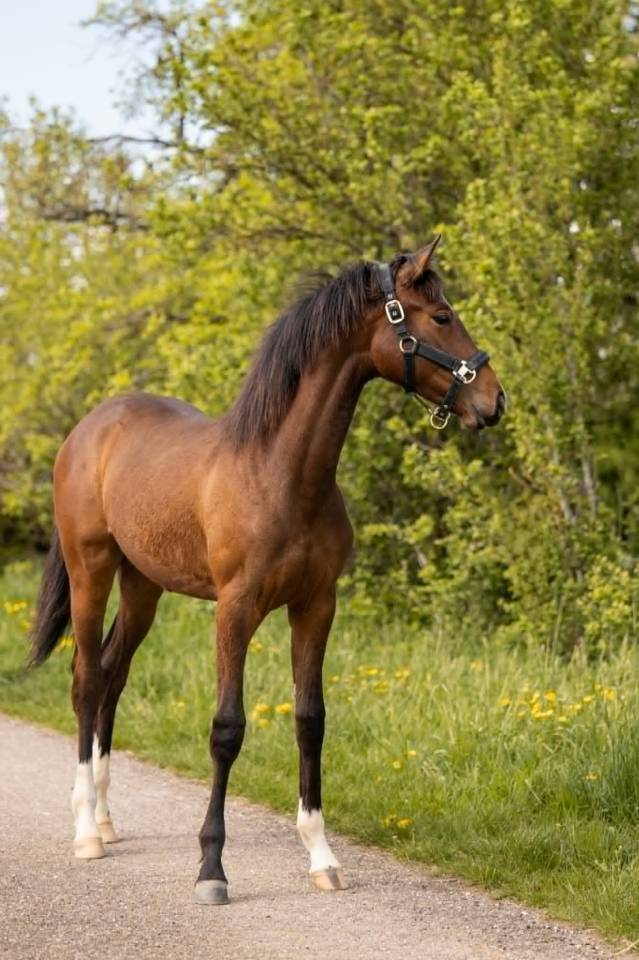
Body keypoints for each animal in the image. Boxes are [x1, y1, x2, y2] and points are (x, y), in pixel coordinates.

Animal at [30, 238, 505, 905]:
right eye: (441, 317)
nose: (493, 401)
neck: (281, 474)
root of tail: (89, 429)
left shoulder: (316, 606)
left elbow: (311, 720)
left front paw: (322, 857)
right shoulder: (237, 609)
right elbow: (227, 729)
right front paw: (211, 868)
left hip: (143, 585)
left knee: (111, 675)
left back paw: (103, 818)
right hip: (90, 570)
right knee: (84, 681)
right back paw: (84, 833)